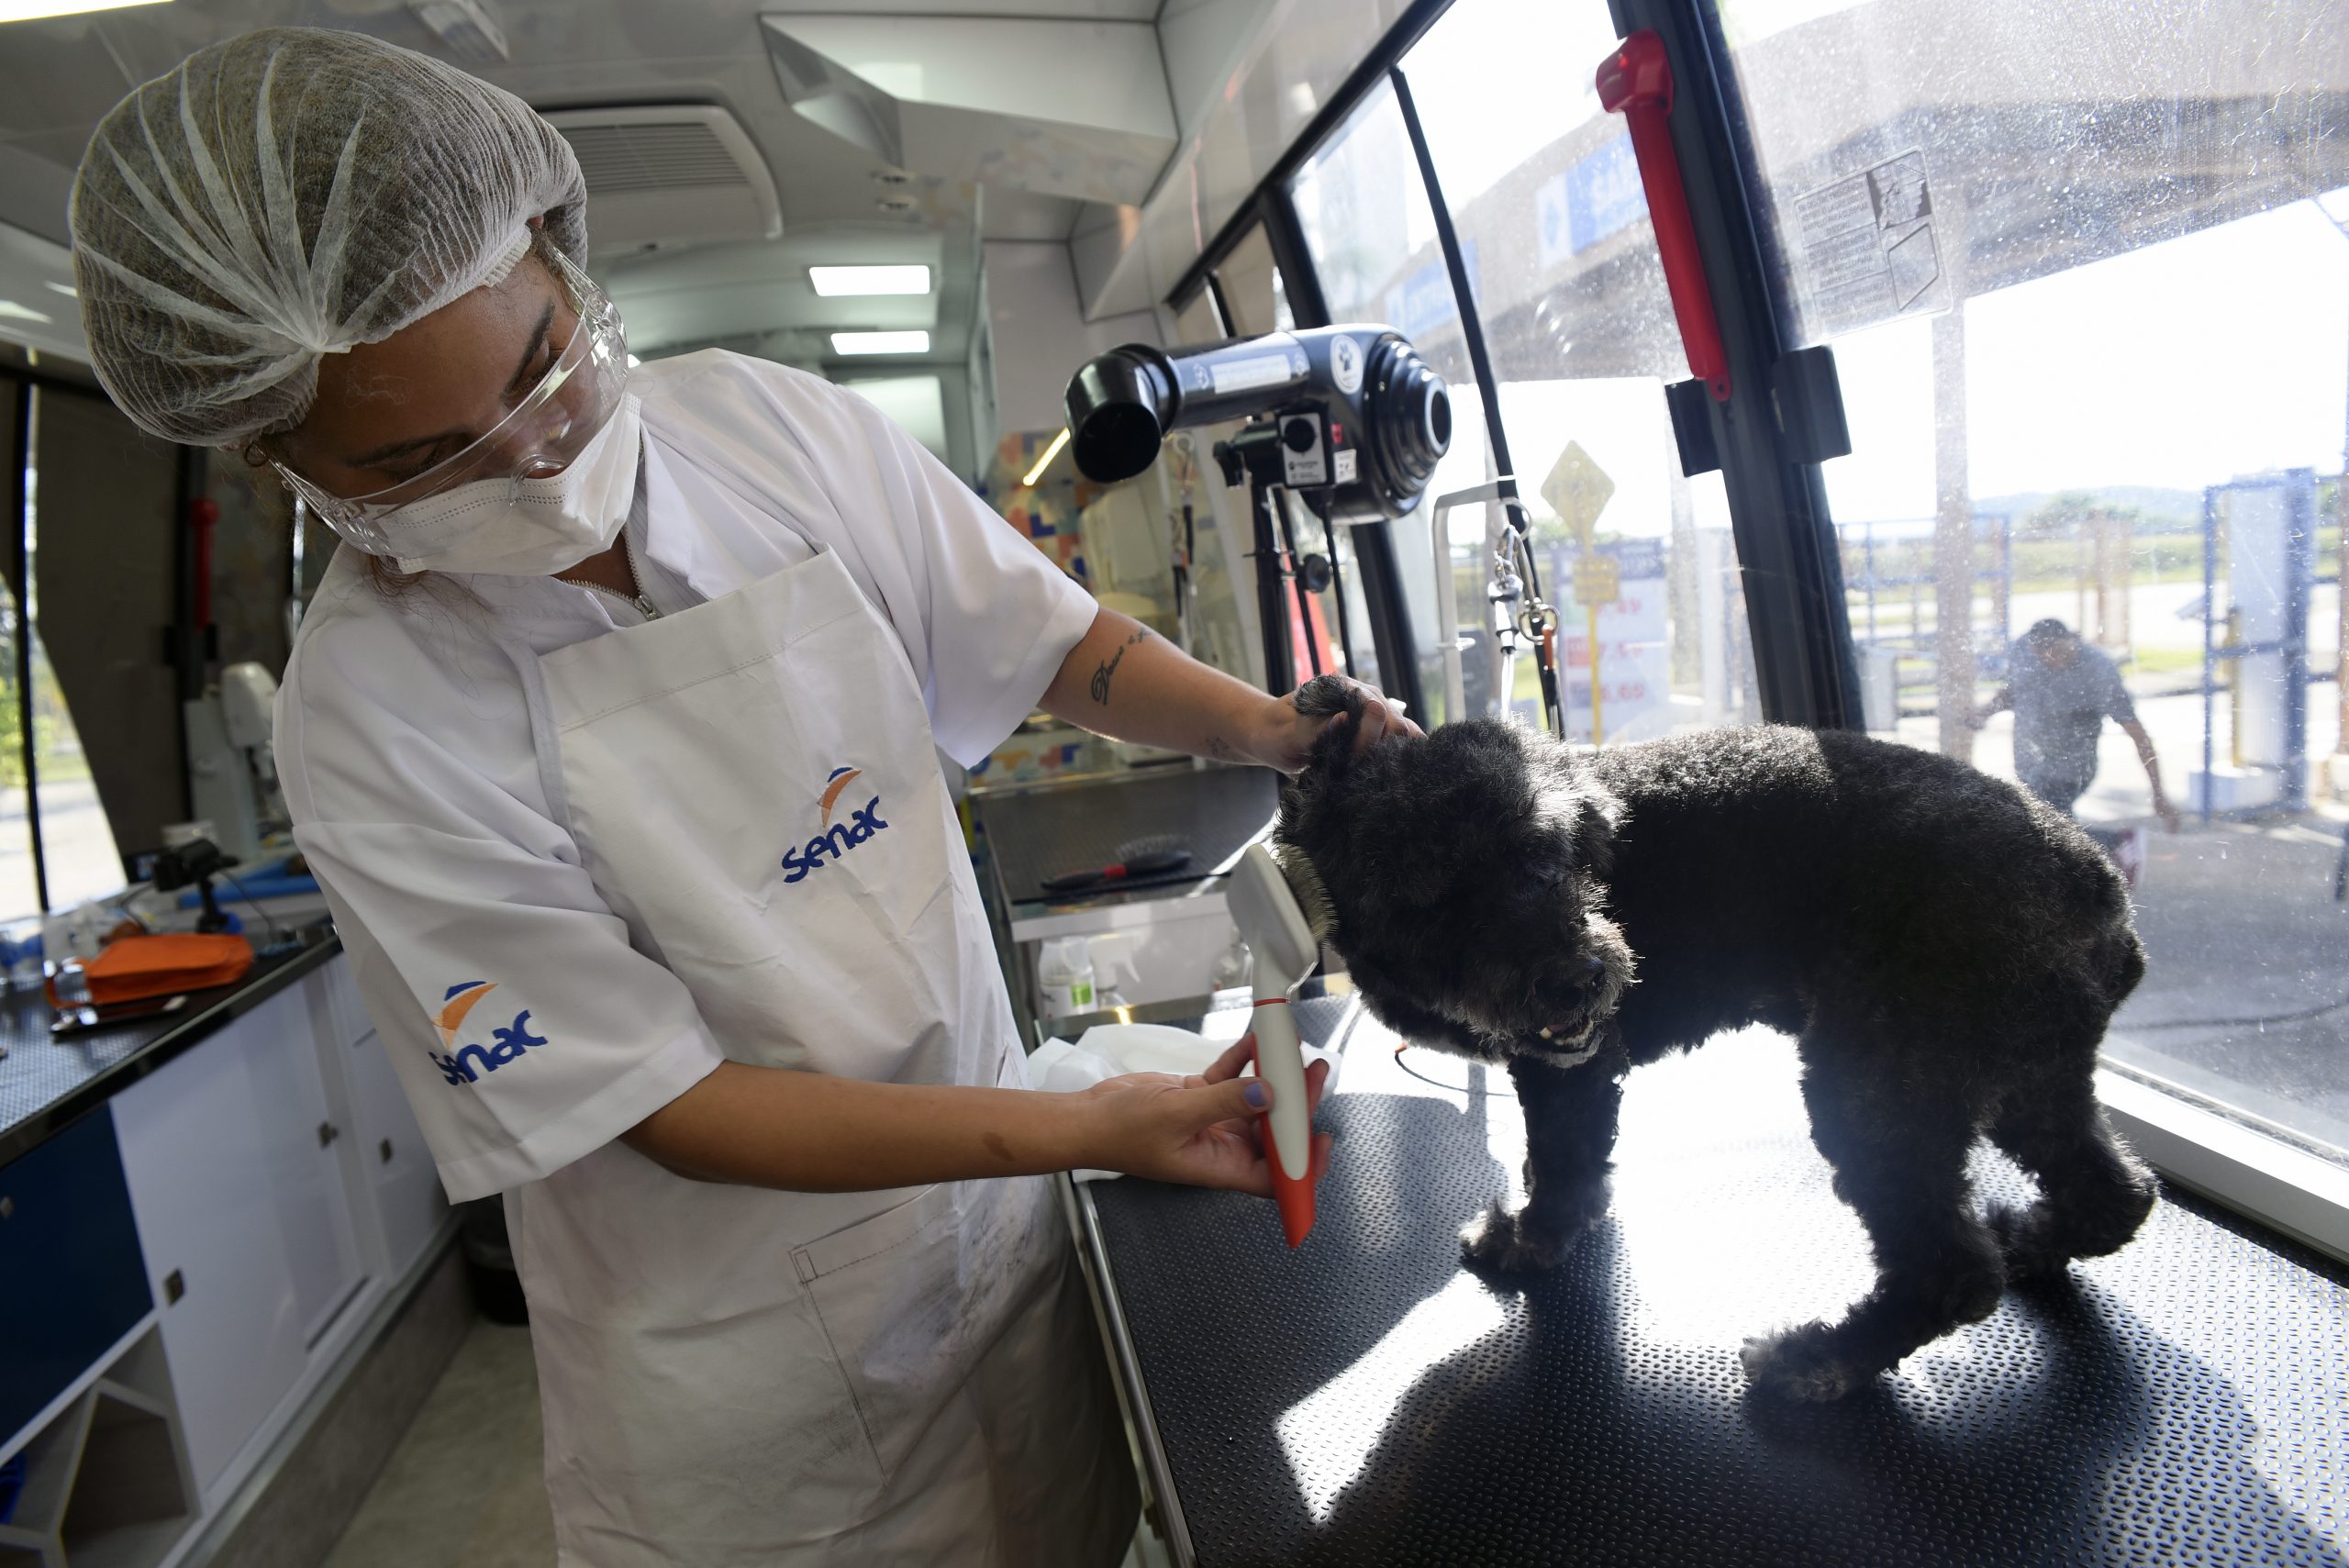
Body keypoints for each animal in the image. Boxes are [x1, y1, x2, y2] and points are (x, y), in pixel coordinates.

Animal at [1277, 680, 2151, 1398]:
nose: (1581, 976)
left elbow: (1563, 1166)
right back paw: (2028, 1238)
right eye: (1435, 892)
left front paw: (1531, 1240)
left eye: (1543, 853)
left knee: (1955, 1269)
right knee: (2117, 1193)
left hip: (1878, 1083)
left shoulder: (1568, 1068)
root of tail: (2098, 887)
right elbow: (1568, 1160)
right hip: (2026, 1071)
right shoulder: (1564, 1060)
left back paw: (1822, 1359)